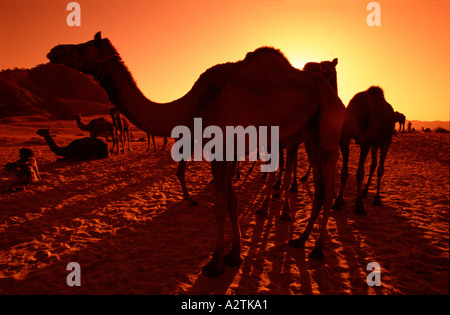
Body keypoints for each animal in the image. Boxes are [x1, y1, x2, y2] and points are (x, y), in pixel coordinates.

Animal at [48, 33, 344, 278]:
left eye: (84, 45)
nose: (54, 50)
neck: (192, 105)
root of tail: (335, 97)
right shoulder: (227, 151)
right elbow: (232, 204)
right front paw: (233, 256)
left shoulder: (220, 149)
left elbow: (220, 207)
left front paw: (215, 264)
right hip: (310, 135)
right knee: (319, 189)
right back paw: (300, 240)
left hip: (328, 131)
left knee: (328, 188)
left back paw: (318, 249)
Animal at [334, 86, 394, 215]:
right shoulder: (344, 138)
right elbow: (344, 172)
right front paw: (338, 202)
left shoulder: (365, 143)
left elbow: (360, 174)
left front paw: (359, 207)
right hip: (375, 142)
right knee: (374, 164)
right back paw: (364, 192)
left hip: (386, 139)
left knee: (380, 168)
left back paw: (377, 199)